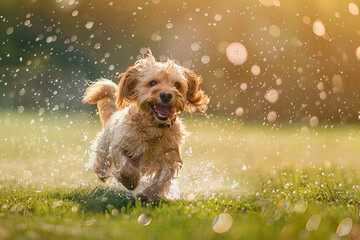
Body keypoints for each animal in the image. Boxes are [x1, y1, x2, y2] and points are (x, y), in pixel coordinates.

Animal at [83, 50, 210, 201]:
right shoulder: (120, 145)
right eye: (152, 83)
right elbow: (124, 163)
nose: (166, 95)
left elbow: (162, 178)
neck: (154, 127)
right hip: (104, 150)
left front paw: (148, 194)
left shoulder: (169, 156)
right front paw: (131, 181)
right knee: (101, 165)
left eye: (177, 85)